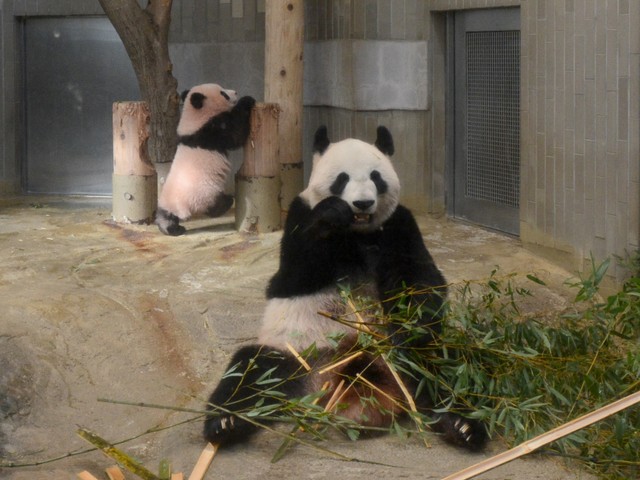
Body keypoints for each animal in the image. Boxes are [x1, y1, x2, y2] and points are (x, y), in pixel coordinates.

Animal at [156, 85, 255, 238]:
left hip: (167, 199)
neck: (193, 120)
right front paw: (247, 101)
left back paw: (171, 229)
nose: (235, 92)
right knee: (212, 205)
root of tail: (180, 206)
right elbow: (235, 134)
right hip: (204, 191)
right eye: (223, 93)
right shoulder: (211, 132)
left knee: (166, 216)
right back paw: (226, 202)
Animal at [202, 126, 488, 450]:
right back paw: (225, 424)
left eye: (376, 176)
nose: (362, 203)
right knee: (250, 371)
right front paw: (331, 214)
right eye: (342, 178)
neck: (357, 232)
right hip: (294, 356)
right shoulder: (299, 216)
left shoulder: (399, 225)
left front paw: (414, 322)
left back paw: (463, 425)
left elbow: (420, 278)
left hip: (412, 360)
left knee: (442, 369)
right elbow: (293, 275)